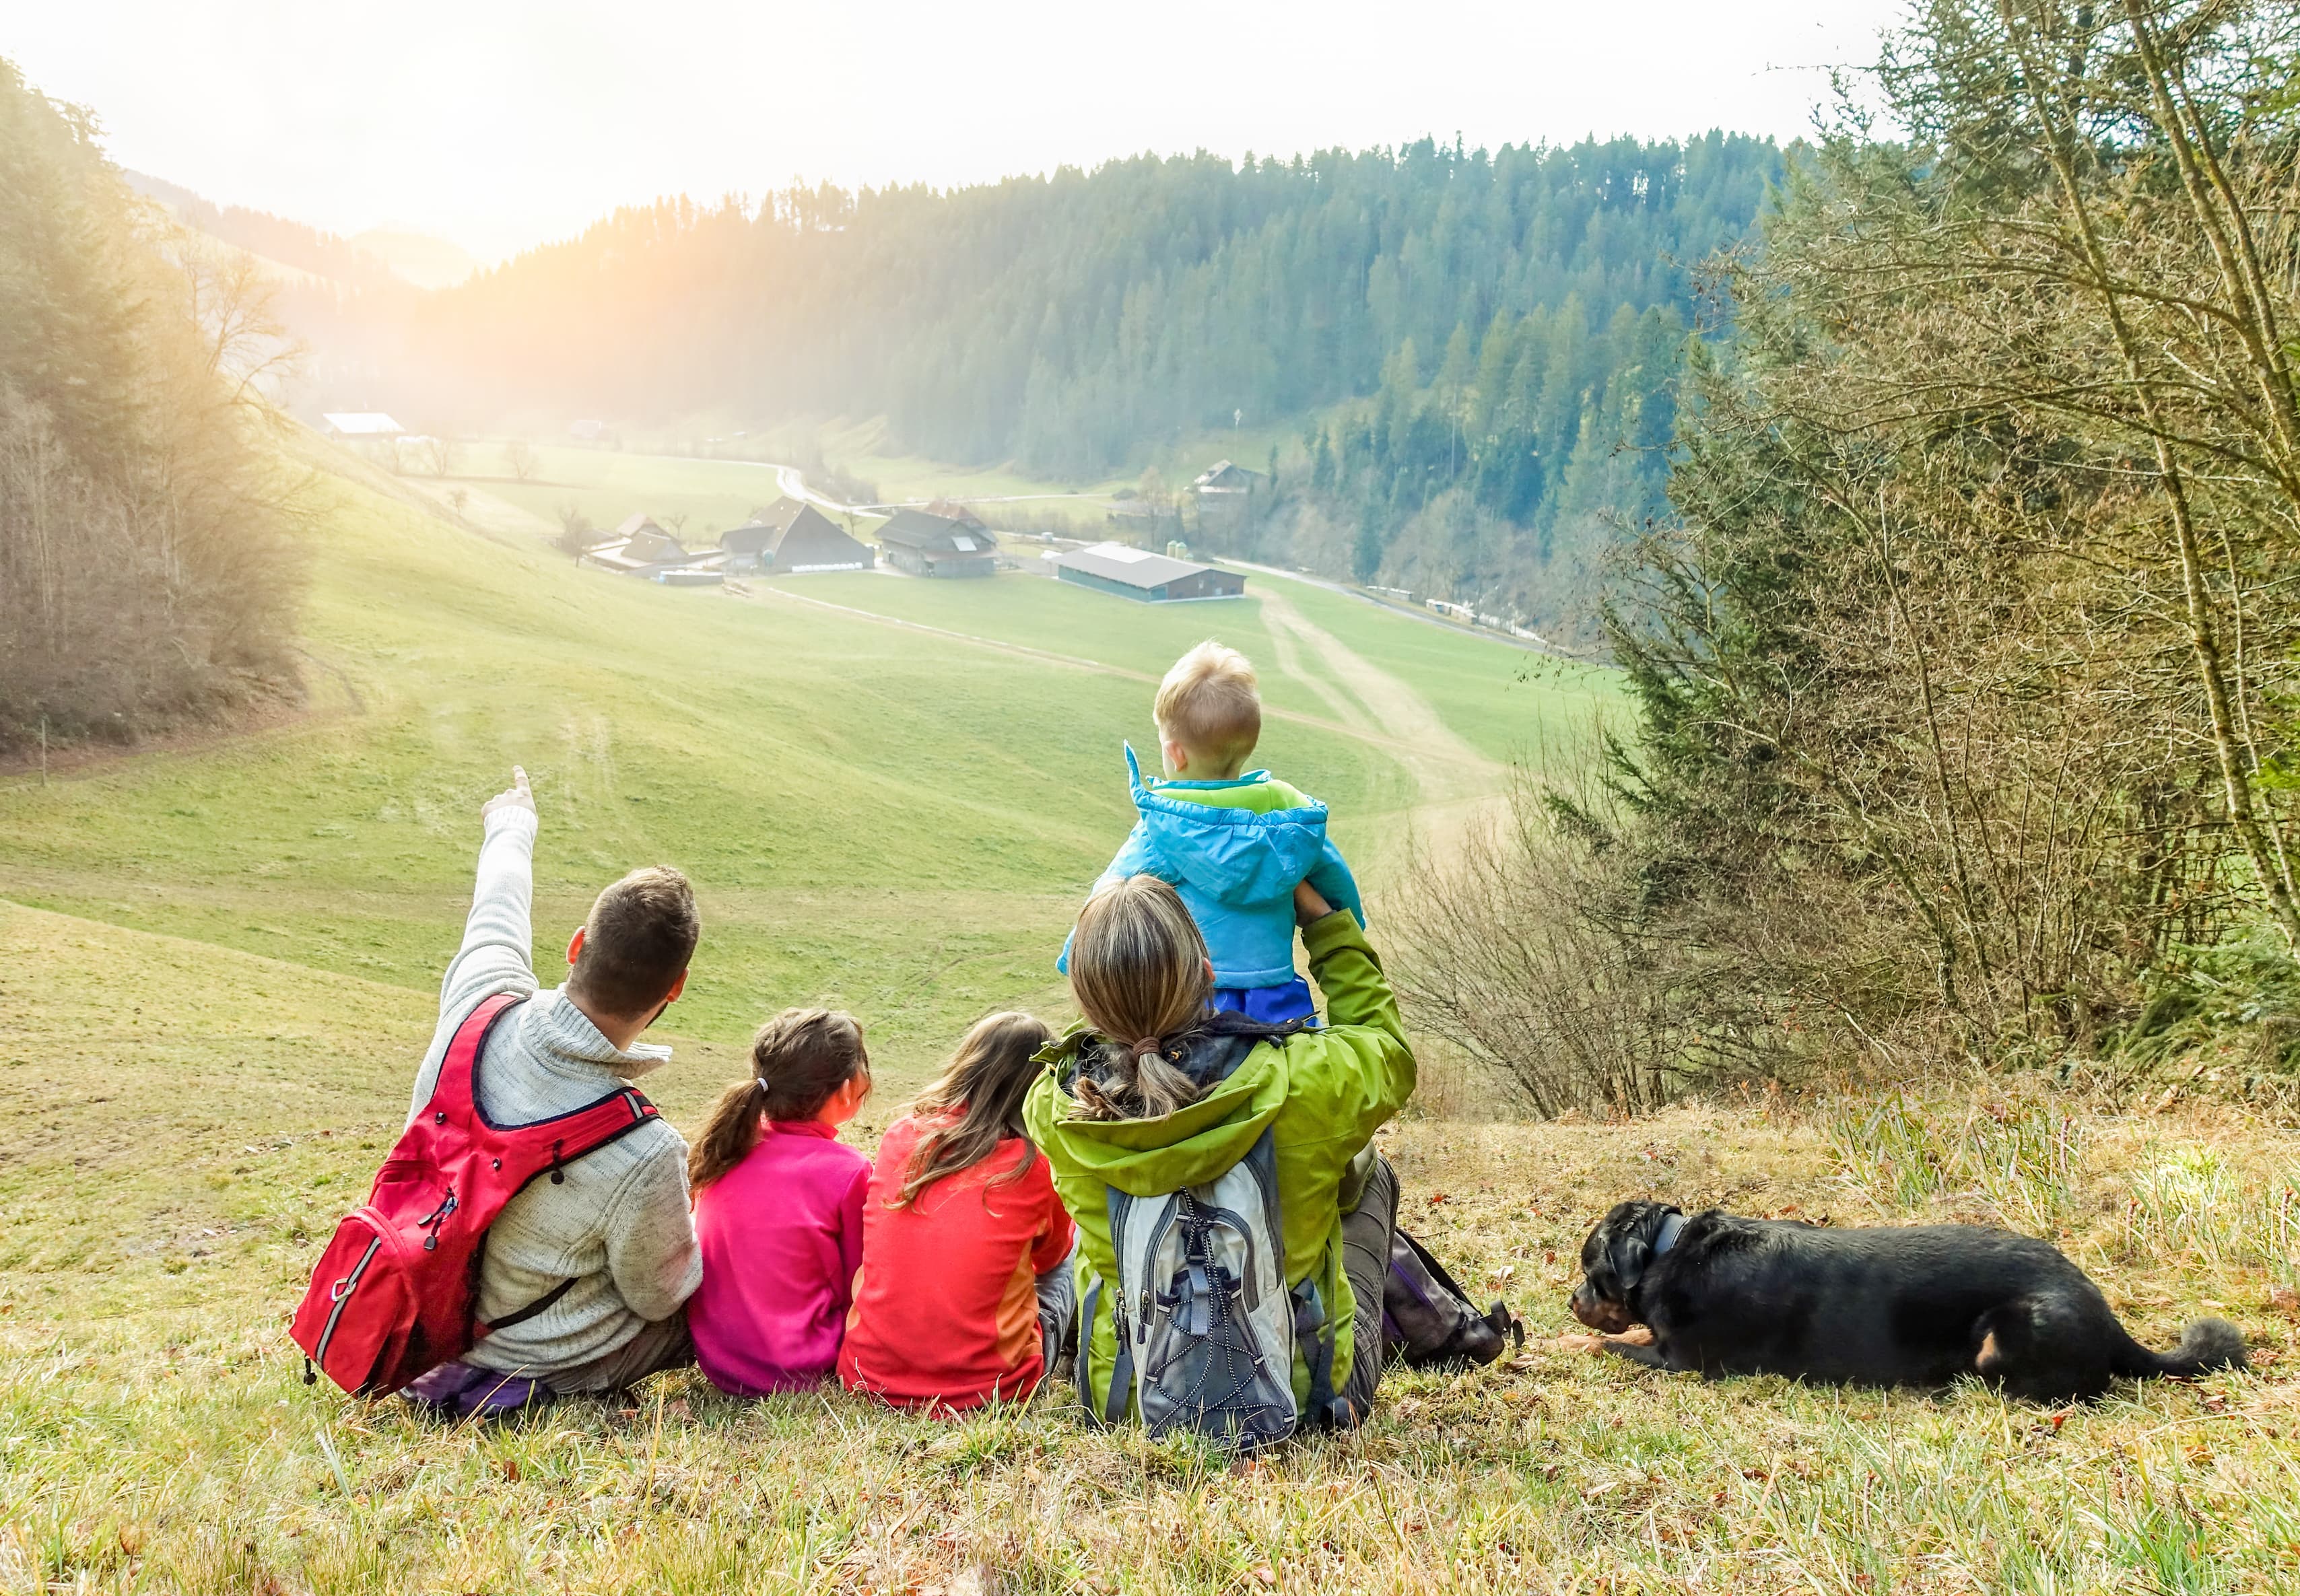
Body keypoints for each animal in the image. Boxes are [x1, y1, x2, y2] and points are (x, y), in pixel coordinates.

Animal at [1563, 1205, 2245, 1407]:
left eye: (1590, 1273)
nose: (1571, 1301)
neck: (1665, 1249)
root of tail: (2106, 1313)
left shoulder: (1681, 1360)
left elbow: (1614, 1343)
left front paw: (1579, 1339)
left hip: (2007, 1335)